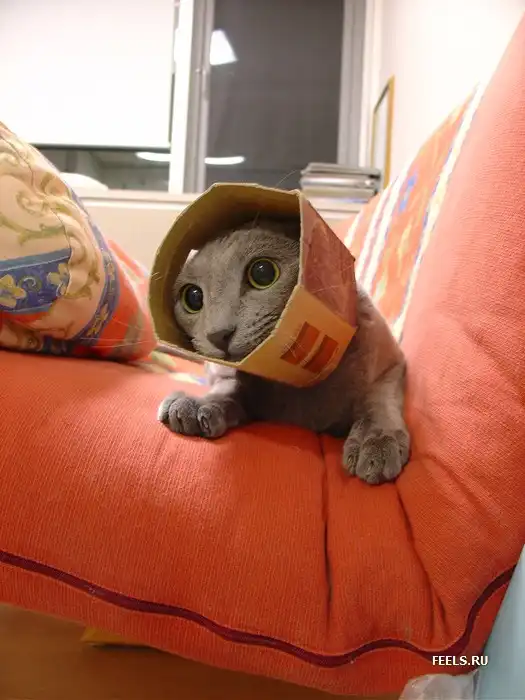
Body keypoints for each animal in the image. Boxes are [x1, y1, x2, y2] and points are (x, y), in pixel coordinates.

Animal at [158, 218, 410, 484]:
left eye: (262, 273)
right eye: (194, 298)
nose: (219, 334)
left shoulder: (393, 364)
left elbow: (378, 397)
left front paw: (377, 441)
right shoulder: (233, 381)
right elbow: (227, 390)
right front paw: (197, 405)